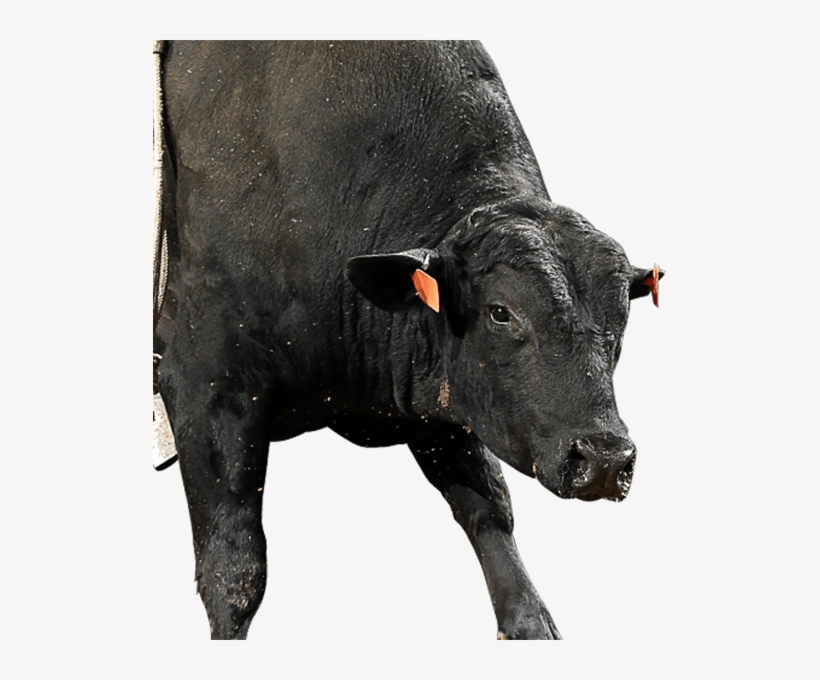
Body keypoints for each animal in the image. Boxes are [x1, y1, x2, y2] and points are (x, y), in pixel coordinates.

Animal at [153, 40, 662, 640]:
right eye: (501, 312)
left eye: (621, 320)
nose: (605, 458)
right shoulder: (205, 382)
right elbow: (234, 571)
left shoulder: (442, 398)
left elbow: (490, 510)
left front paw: (530, 621)